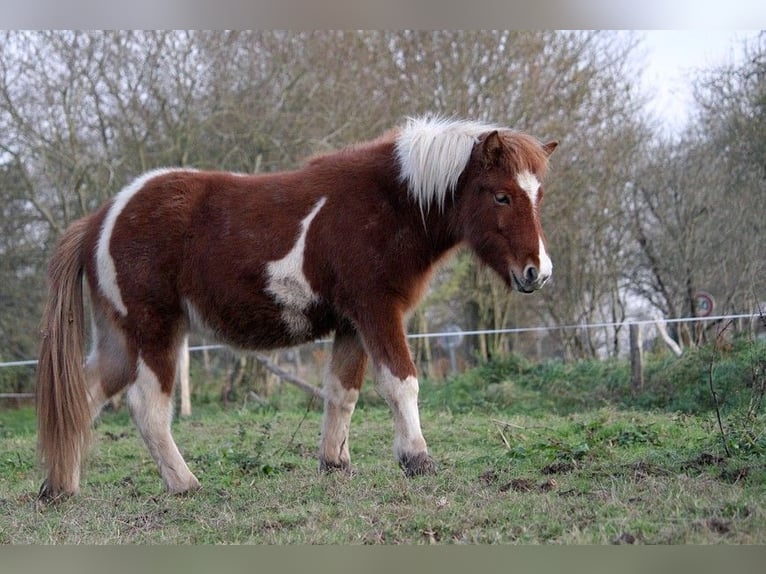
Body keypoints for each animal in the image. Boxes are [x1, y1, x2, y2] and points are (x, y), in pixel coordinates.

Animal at [34, 115, 560, 502]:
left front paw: (336, 463)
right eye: (501, 195)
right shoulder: (377, 311)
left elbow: (342, 392)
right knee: (147, 407)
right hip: (154, 332)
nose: (538, 272)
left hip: (121, 339)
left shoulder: (352, 323)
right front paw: (417, 459)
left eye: (538, 195)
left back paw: (61, 488)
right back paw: (185, 484)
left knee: (80, 398)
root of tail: (102, 218)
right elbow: (400, 383)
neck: (388, 204)